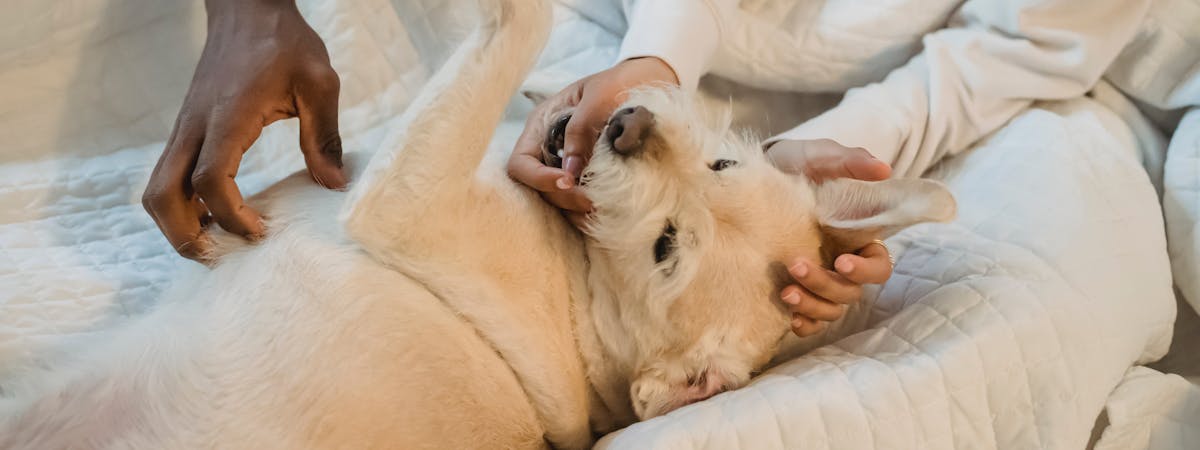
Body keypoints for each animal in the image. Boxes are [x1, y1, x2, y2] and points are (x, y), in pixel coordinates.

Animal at [0, 0, 955, 448]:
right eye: (723, 171)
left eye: (665, 250)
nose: (625, 125)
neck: (580, 284)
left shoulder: (404, 200)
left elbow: (518, 27)